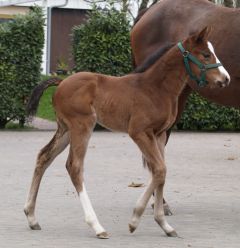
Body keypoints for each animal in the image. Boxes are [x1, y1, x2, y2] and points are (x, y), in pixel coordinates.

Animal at [23, 28, 229, 239]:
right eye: (206, 54)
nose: (225, 78)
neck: (156, 88)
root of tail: (62, 81)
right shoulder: (139, 132)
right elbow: (159, 170)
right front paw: (135, 220)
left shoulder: (160, 135)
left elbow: (160, 171)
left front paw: (164, 224)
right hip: (82, 125)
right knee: (74, 166)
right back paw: (96, 226)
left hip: (65, 129)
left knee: (44, 157)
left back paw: (31, 217)